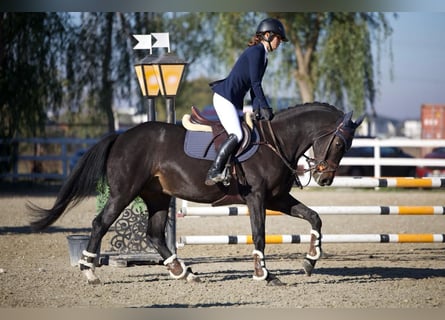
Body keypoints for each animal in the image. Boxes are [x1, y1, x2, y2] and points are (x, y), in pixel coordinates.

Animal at [27, 102, 360, 284]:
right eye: (340, 143)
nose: (325, 177)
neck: (275, 142)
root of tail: (122, 135)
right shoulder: (257, 198)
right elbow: (259, 235)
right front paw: (264, 274)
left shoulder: (277, 198)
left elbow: (315, 218)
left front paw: (309, 261)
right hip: (124, 193)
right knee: (100, 224)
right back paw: (90, 272)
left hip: (158, 197)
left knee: (154, 234)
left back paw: (184, 272)